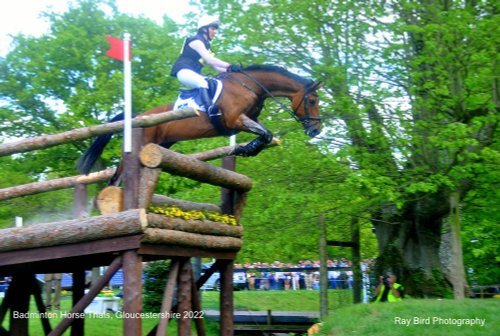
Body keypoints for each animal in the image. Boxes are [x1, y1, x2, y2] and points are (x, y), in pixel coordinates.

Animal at [76, 63, 322, 184]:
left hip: (162, 145)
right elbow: (266, 133)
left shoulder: (249, 119)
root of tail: (137, 116)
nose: (316, 130)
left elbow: (264, 134)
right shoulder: (236, 119)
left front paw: (246, 149)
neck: (250, 86)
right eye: (312, 100)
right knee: (117, 179)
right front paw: (247, 148)